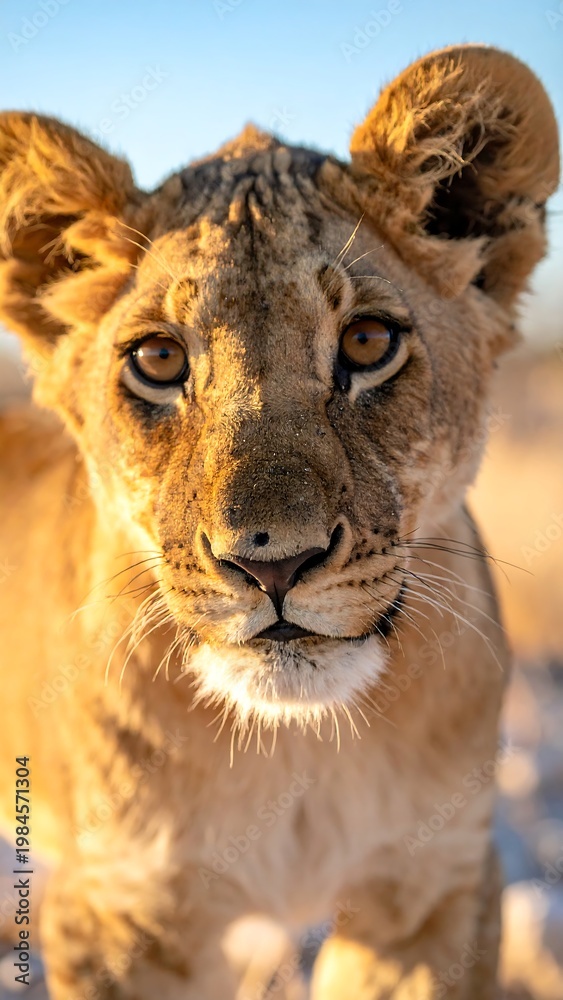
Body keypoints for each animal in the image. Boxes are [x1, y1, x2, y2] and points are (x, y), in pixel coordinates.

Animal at [0, 44, 558, 999]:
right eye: (158, 359)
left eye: (367, 343)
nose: (272, 565)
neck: (296, 752)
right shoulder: (120, 912)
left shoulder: (433, 886)